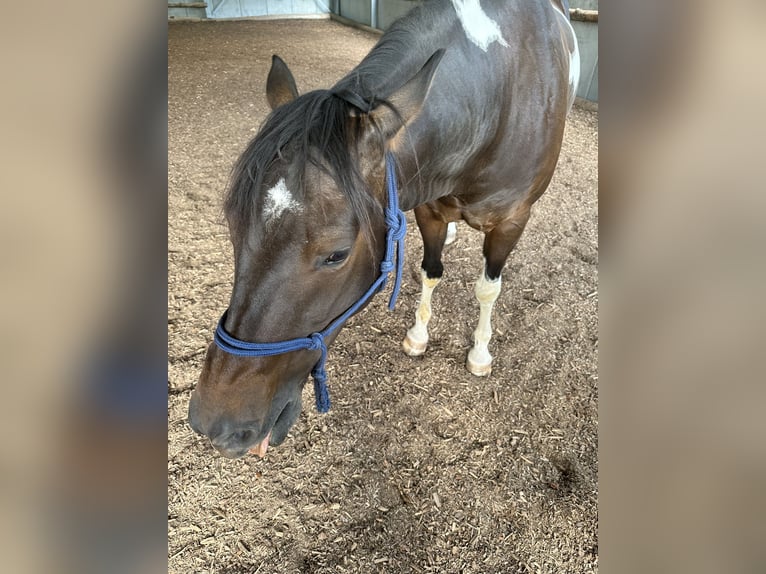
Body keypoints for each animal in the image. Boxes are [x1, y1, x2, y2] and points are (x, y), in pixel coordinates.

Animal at [188, 0, 580, 459]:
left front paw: (480, 352)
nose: (215, 424)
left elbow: (487, 289)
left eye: (336, 254)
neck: (496, 100)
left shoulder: (512, 220)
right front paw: (419, 334)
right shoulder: (429, 208)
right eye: (233, 228)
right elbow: (431, 272)